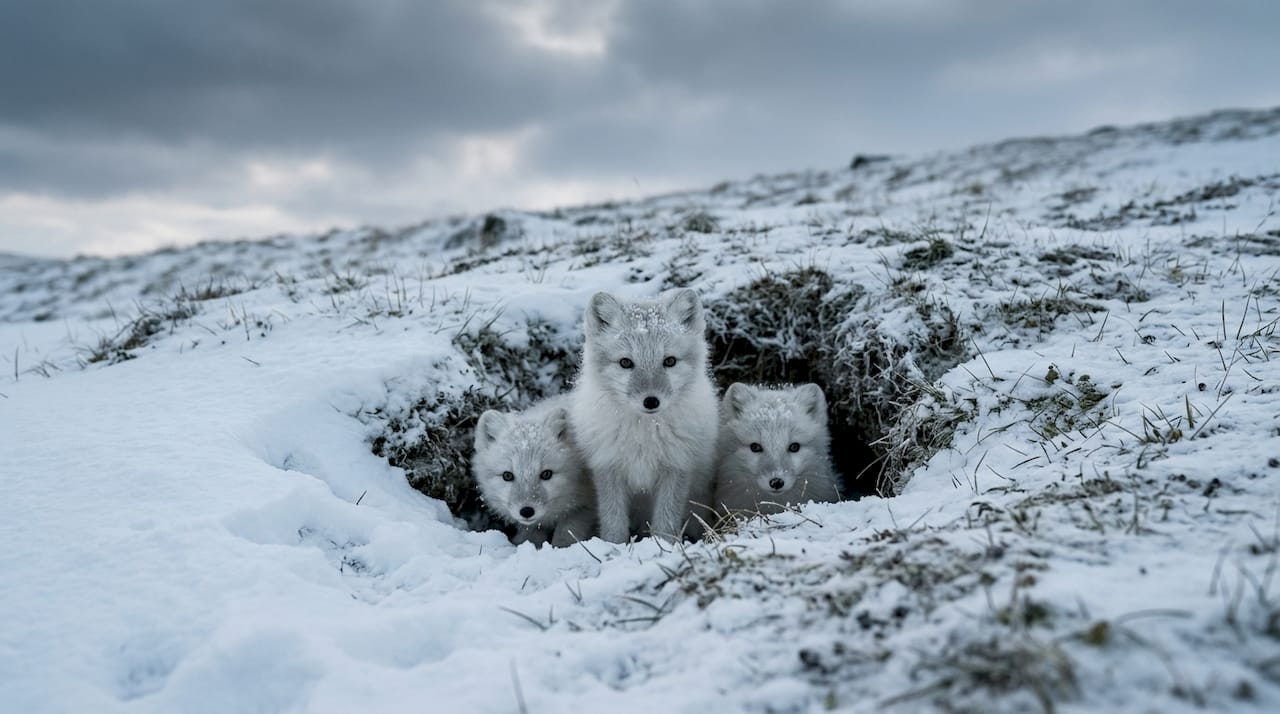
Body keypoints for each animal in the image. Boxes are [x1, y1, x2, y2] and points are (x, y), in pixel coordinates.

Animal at [472, 396, 596, 547]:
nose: (526, 511)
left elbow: (565, 537)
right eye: (507, 475)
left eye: (546, 474)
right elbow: (529, 537)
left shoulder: (582, 510)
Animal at [569, 288, 720, 542]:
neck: (643, 433)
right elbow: (613, 521)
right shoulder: (608, 468)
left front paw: (664, 545)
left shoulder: (677, 467)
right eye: (625, 362)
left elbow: (666, 521)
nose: (651, 401)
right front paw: (613, 545)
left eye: (669, 361)